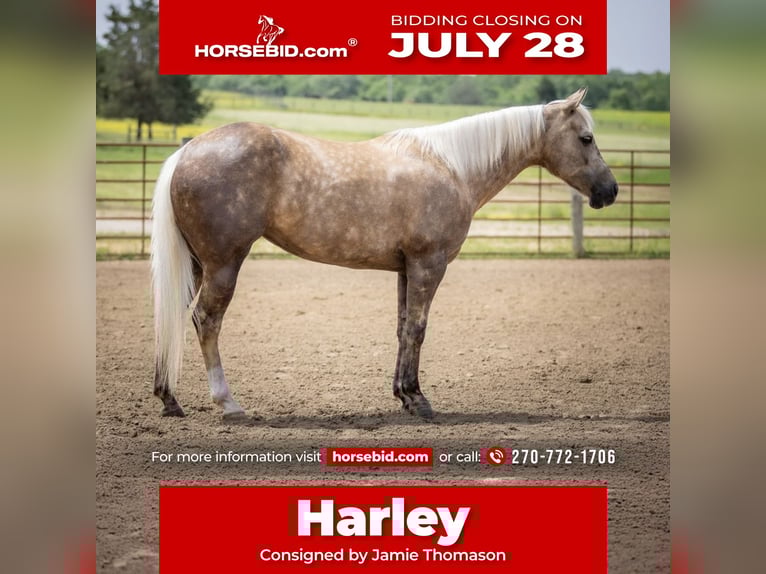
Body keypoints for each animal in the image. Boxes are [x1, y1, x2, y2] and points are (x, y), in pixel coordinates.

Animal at [151, 88, 618, 421]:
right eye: (586, 137)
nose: (610, 191)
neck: (451, 167)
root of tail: (187, 151)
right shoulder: (429, 264)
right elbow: (417, 329)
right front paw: (418, 400)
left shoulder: (406, 268)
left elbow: (401, 328)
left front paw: (403, 396)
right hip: (224, 263)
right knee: (206, 320)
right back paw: (228, 404)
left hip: (198, 264)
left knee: (175, 316)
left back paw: (169, 399)